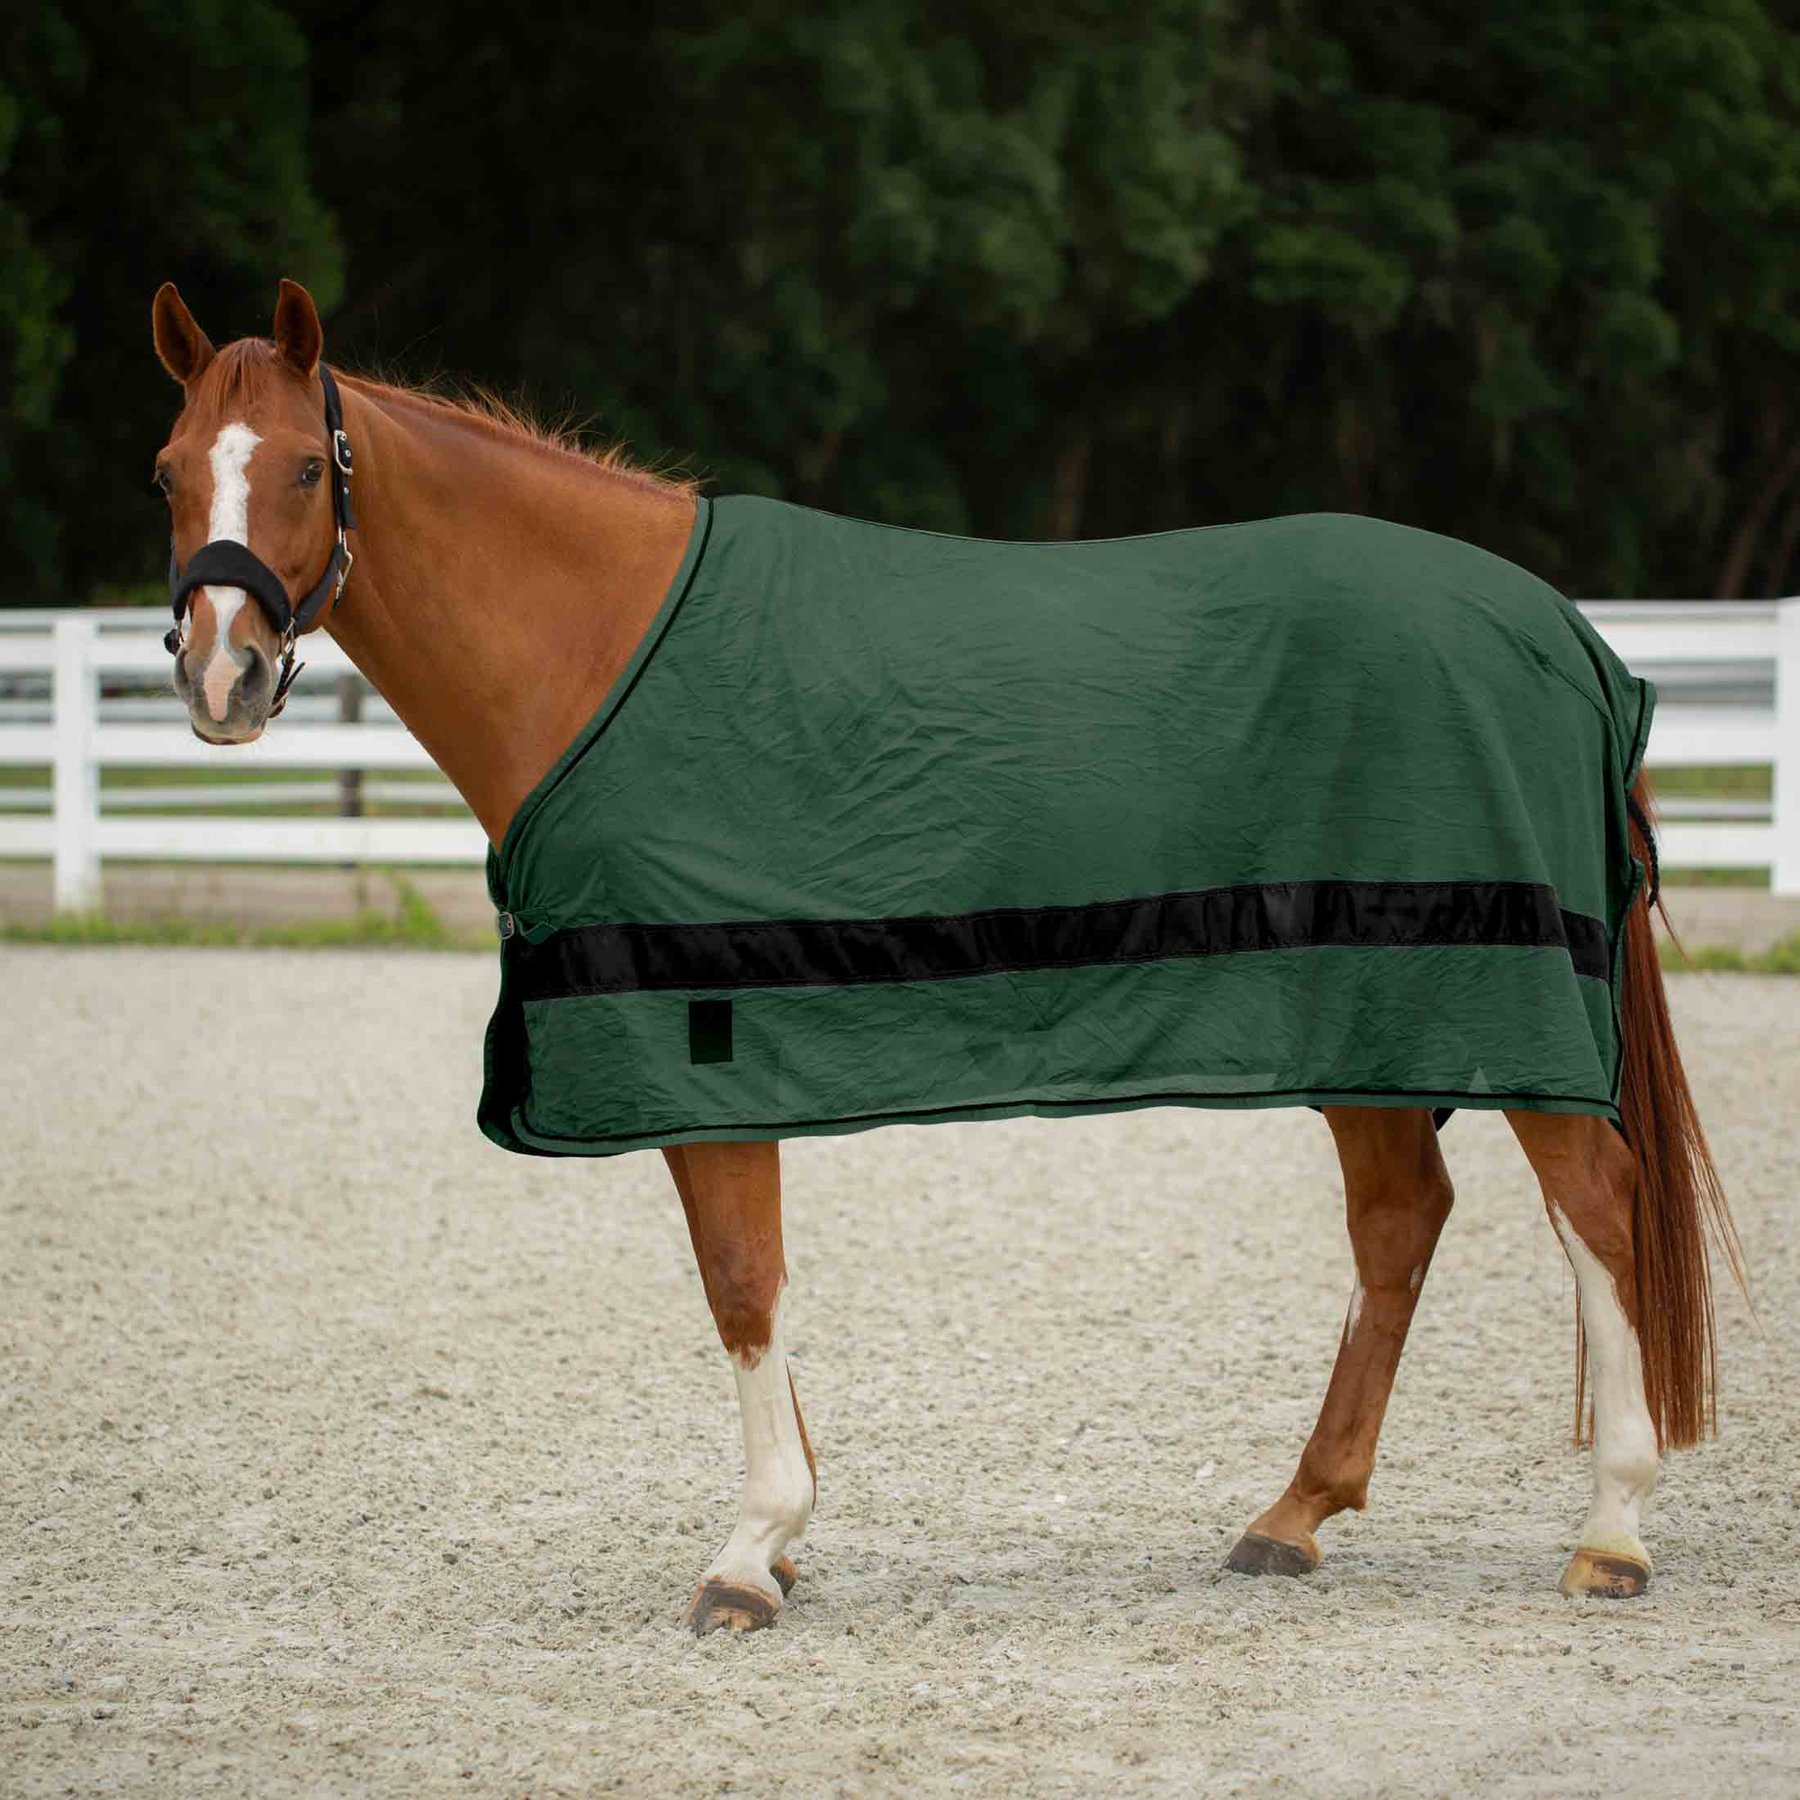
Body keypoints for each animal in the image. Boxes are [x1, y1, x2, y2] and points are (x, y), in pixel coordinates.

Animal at [150, 278, 1741, 1635]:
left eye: (303, 471)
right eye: (169, 470)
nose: (222, 679)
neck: (603, 649)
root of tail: (1563, 633)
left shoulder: (700, 1031)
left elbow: (740, 1280)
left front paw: (751, 1553)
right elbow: (748, 1285)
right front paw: (787, 1535)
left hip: (1495, 1002)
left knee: (1597, 1209)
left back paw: (1611, 1529)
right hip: (1370, 1010)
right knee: (1403, 1221)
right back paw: (1292, 1516)